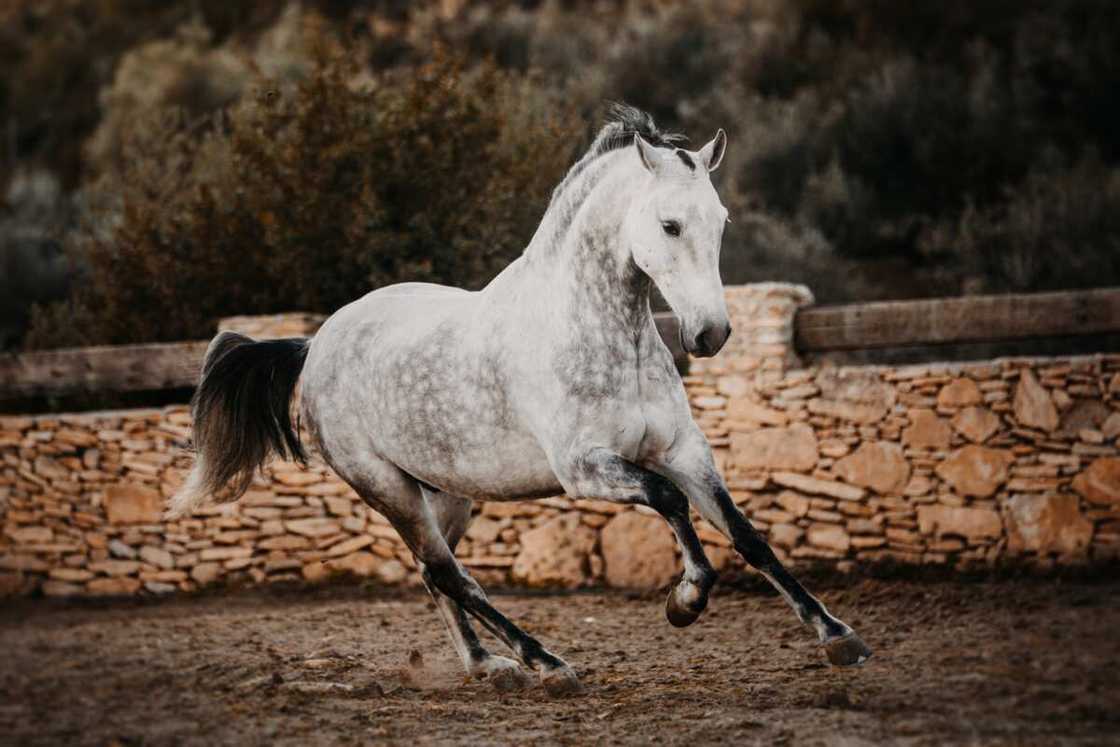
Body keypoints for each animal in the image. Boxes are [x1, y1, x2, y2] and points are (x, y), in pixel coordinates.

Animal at [170, 104, 871, 696]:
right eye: (669, 225)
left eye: (720, 222)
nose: (710, 334)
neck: (599, 334)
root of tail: (317, 345)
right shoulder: (586, 470)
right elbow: (671, 503)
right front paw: (686, 601)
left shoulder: (684, 450)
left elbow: (746, 534)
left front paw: (838, 636)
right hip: (386, 487)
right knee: (449, 573)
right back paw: (547, 664)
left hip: (446, 492)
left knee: (435, 572)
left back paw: (488, 666)